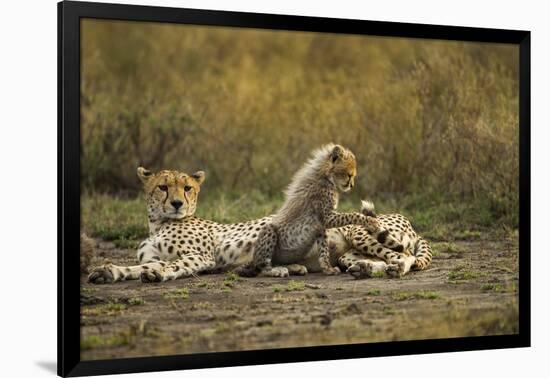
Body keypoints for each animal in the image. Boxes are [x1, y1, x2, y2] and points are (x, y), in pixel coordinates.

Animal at [88, 166, 434, 284]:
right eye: (162, 187)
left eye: (187, 188)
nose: (176, 203)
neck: (158, 223)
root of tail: (408, 219)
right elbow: (136, 267)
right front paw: (109, 272)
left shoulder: (203, 257)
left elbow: (174, 265)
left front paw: (158, 274)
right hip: (348, 251)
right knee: (376, 259)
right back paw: (364, 269)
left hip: (358, 231)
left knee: (405, 257)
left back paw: (393, 269)